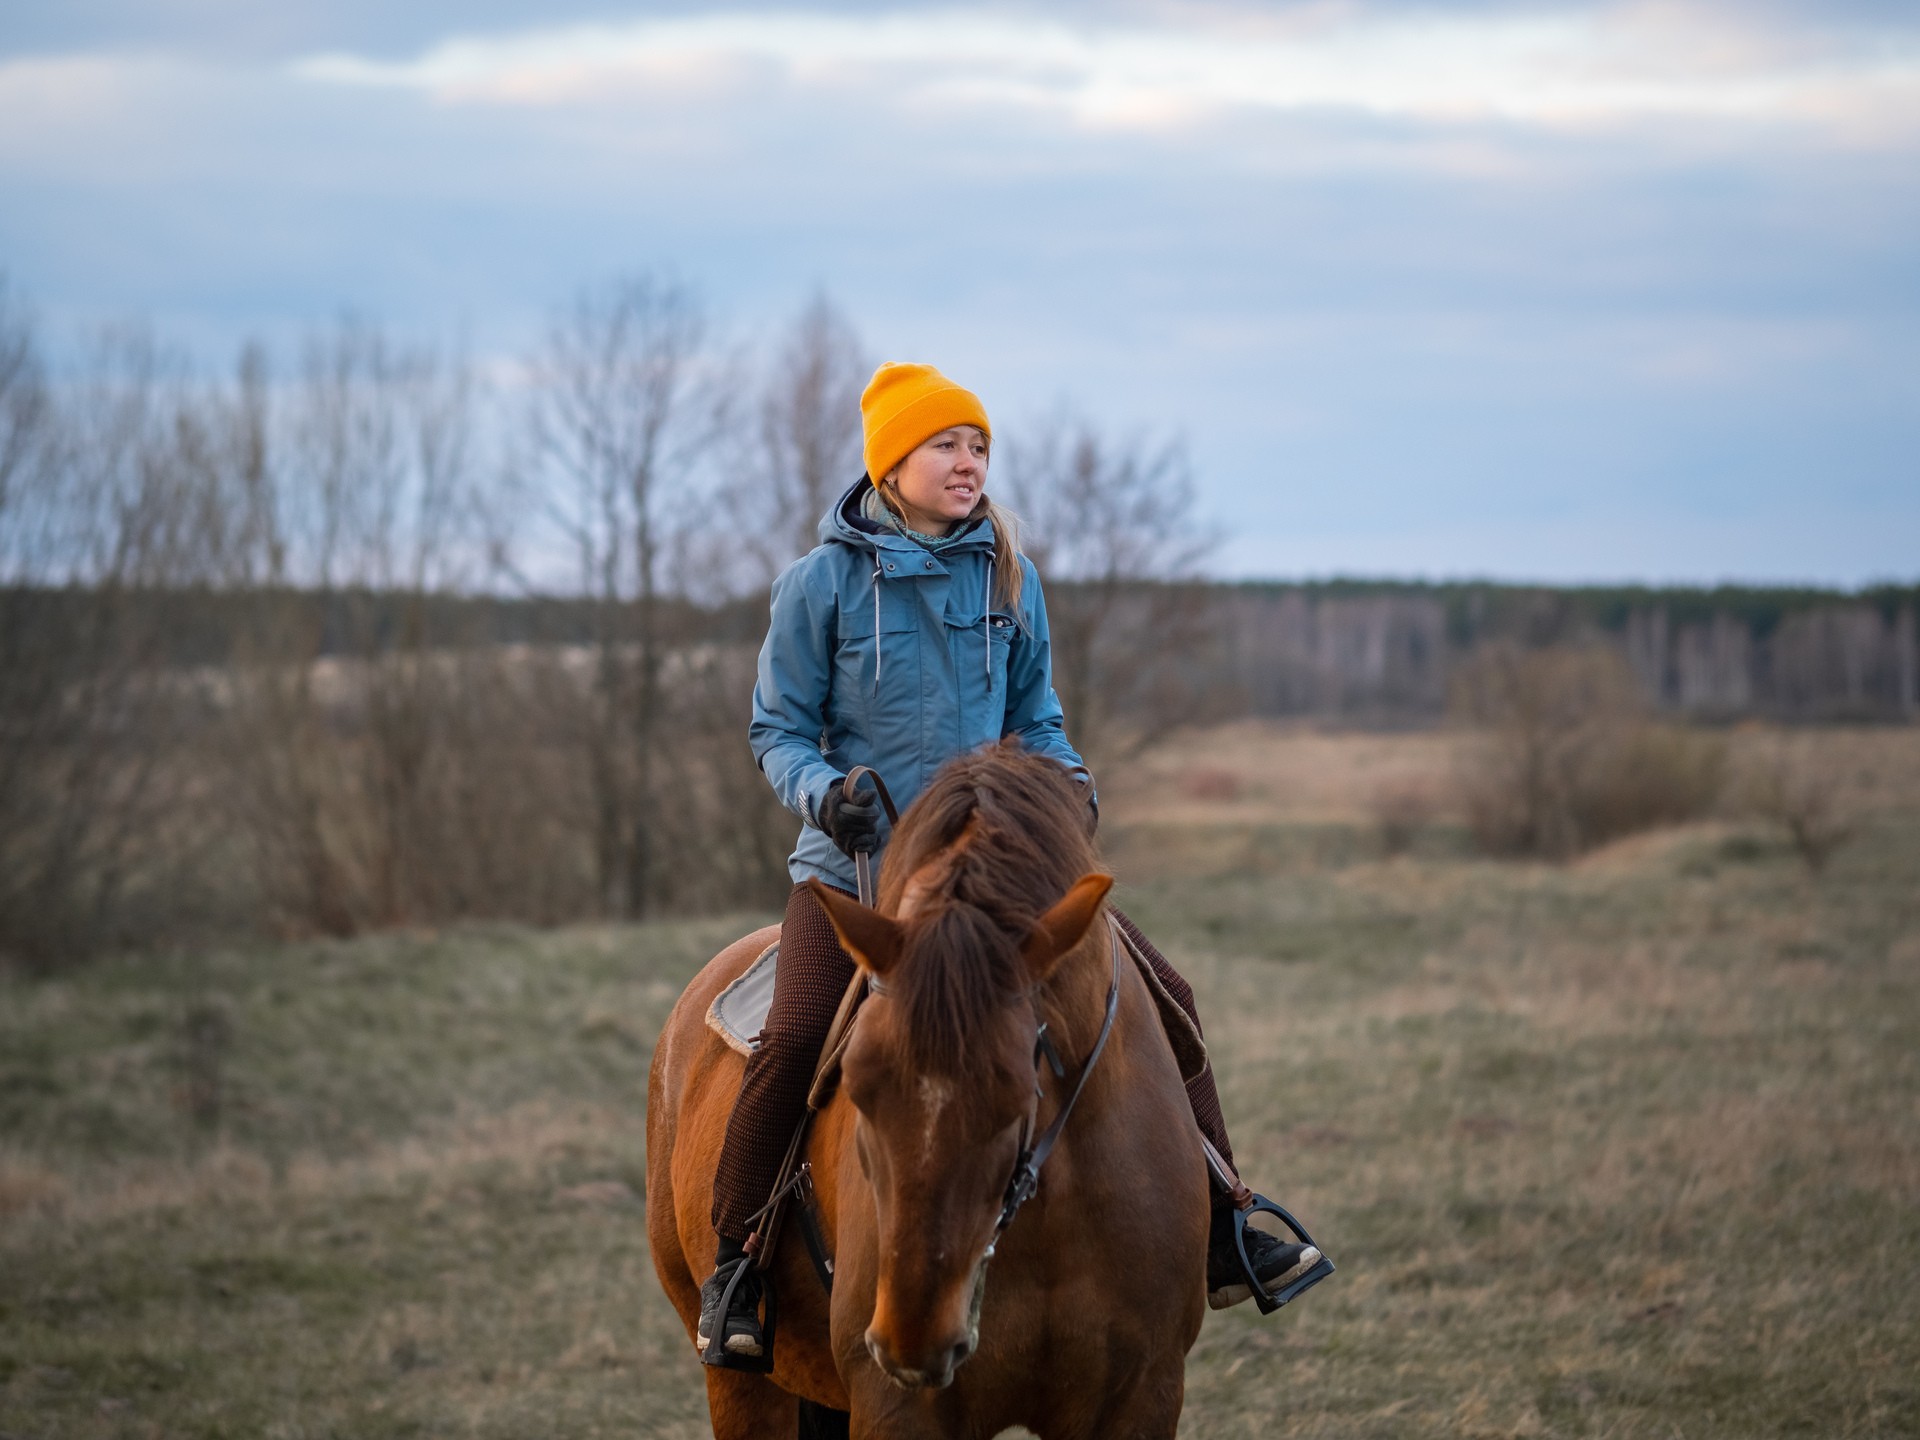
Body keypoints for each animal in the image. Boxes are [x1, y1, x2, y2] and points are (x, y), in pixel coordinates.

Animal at [652, 744, 1205, 1440]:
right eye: (856, 1089)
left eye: (1019, 1095)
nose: (909, 1340)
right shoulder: (897, 1409)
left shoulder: (1142, 1395)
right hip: (742, 1384)